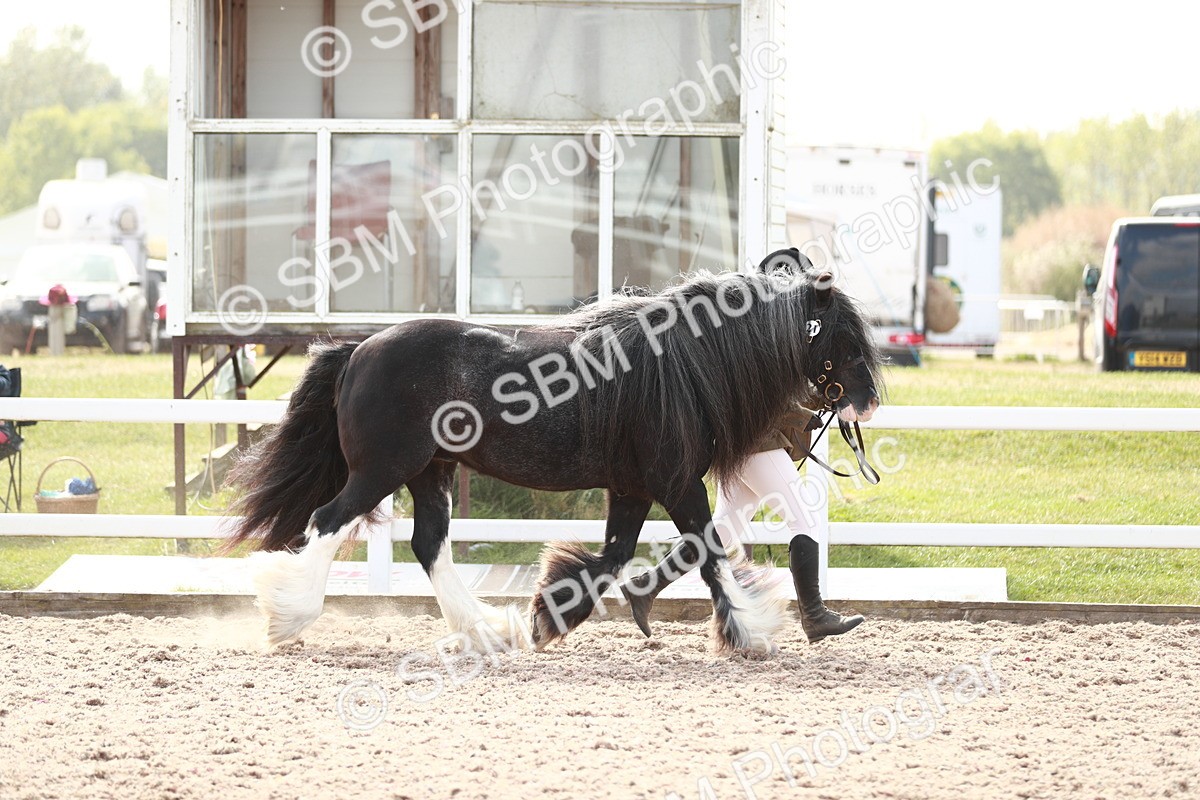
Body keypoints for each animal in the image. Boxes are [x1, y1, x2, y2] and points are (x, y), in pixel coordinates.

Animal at [224, 248, 883, 655]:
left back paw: (489, 631)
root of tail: (357, 351)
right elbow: (709, 552)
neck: (680, 365)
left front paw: (551, 615)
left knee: (429, 544)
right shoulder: (676, 484)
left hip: (431, 473)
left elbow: (615, 557)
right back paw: (289, 615)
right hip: (383, 470)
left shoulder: (634, 488)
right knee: (327, 522)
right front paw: (751, 632)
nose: (869, 402)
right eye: (845, 341)